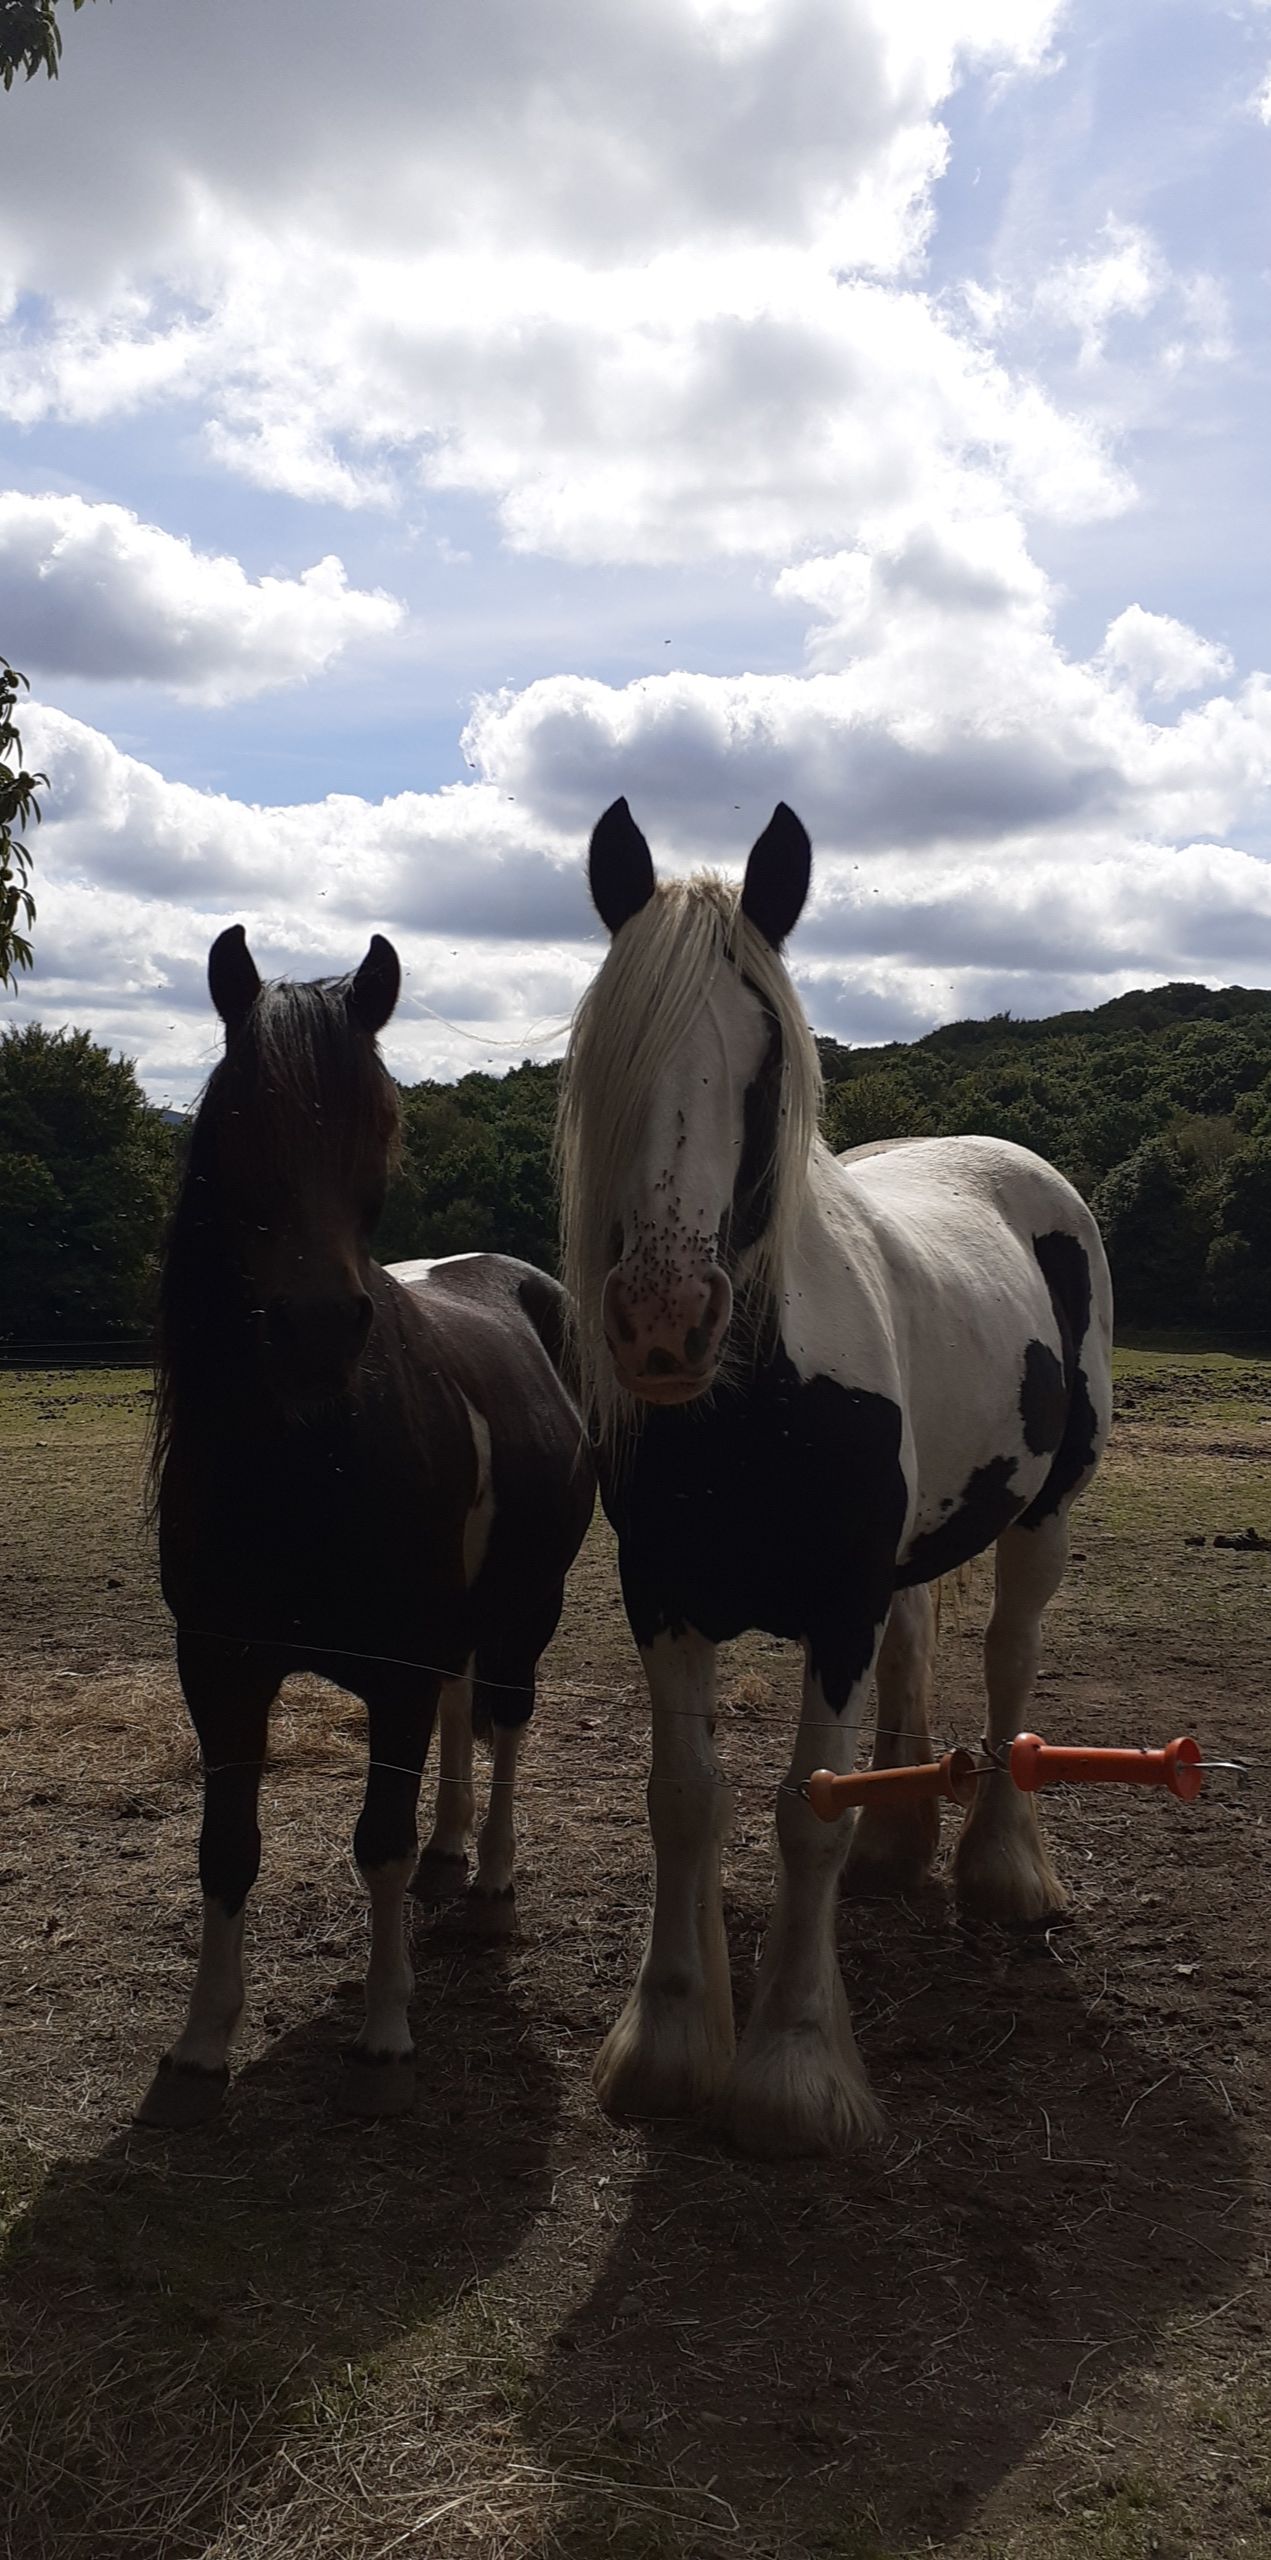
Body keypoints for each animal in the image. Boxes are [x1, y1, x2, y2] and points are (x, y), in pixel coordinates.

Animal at [138, 926, 594, 2127]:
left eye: (380, 1124)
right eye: (238, 1118)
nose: (312, 1329)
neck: (307, 1459)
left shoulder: (393, 1667)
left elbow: (375, 1843)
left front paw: (387, 2030)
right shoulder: (220, 1666)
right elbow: (226, 1848)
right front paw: (201, 2042)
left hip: (528, 1603)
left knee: (504, 1717)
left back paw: (489, 1881)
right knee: (462, 1711)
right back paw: (453, 1852)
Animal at [555, 799, 1113, 2158]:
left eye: (764, 1064)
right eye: (613, 1055)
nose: (662, 1323)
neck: (756, 1399)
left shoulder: (837, 1609)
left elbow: (806, 1810)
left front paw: (792, 2072)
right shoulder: (661, 1593)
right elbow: (683, 1798)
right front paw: (670, 2039)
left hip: (1043, 1518)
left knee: (1005, 1659)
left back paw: (999, 1868)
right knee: (922, 1645)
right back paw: (901, 1850)